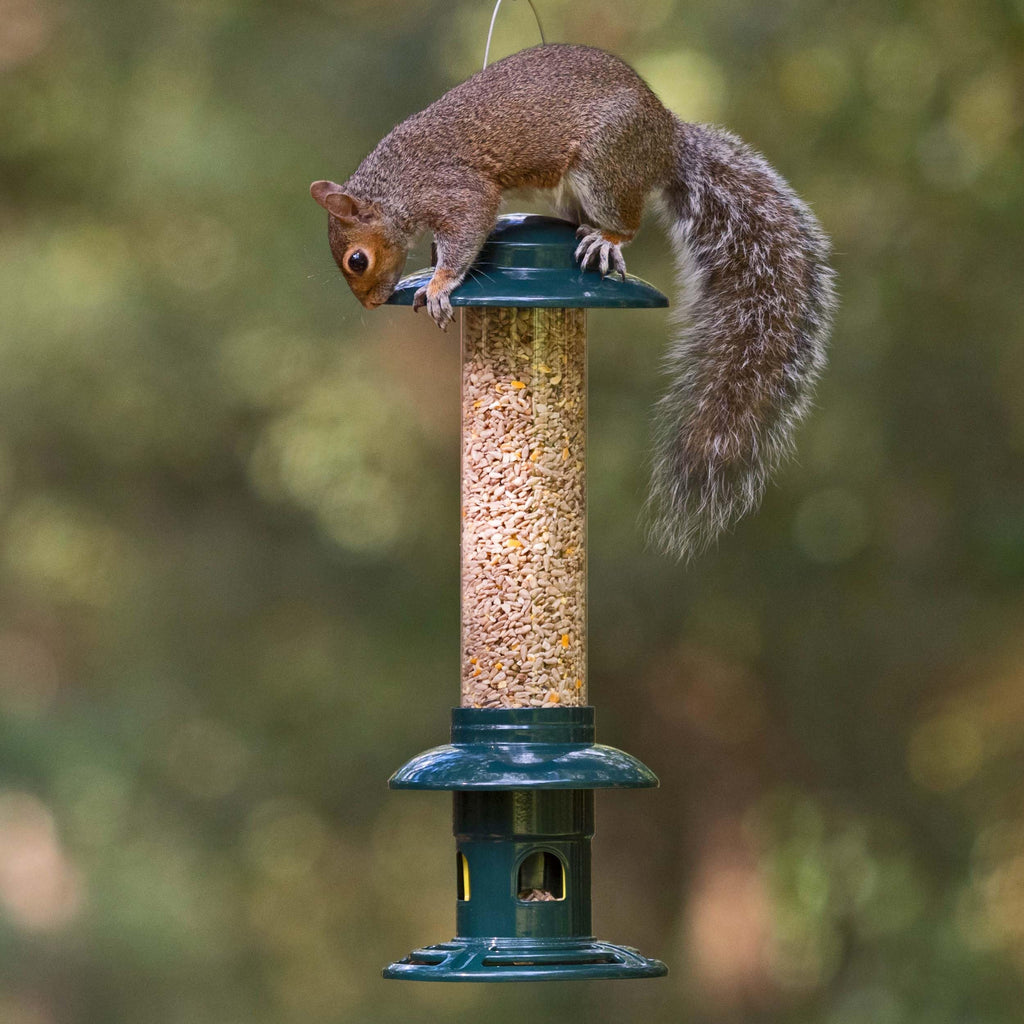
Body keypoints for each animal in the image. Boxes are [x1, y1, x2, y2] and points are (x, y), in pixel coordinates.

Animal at [310, 43, 836, 558]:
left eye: (357, 260)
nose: (371, 306)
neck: (397, 187)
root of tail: (666, 137)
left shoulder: (457, 193)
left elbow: (466, 231)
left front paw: (440, 285)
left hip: (604, 164)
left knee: (627, 221)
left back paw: (606, 239)